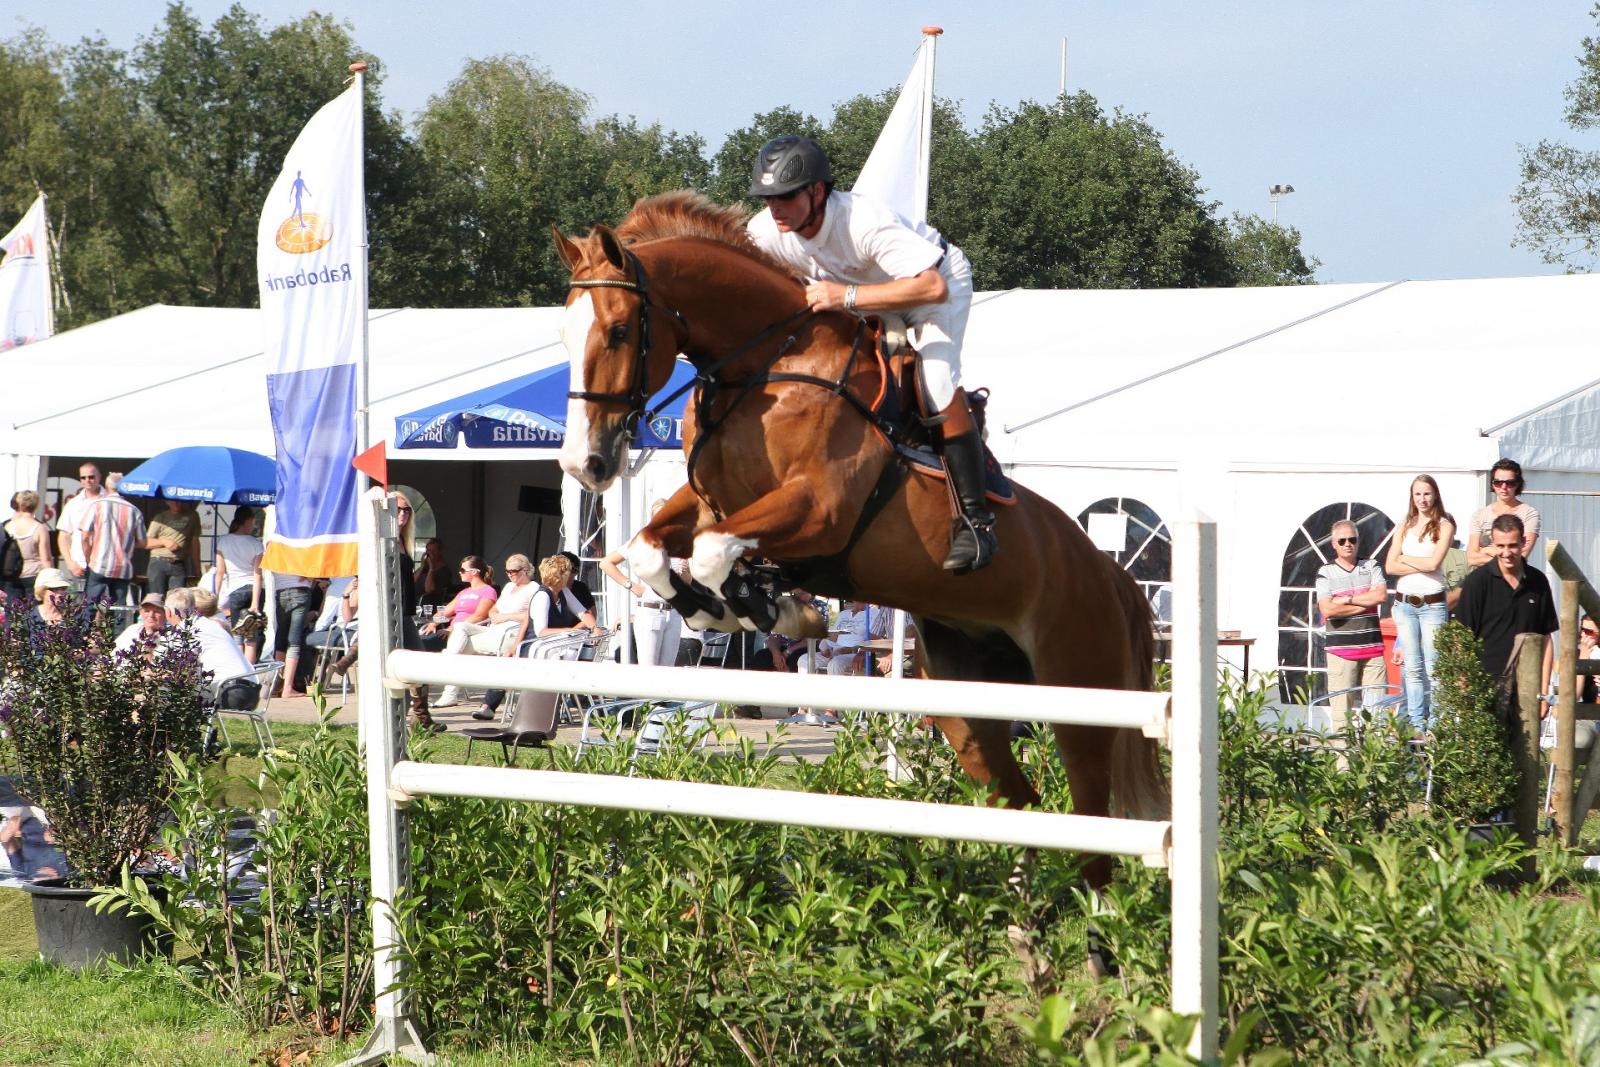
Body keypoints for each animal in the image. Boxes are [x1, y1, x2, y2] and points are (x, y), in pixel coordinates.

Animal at [550, 189, 1164, 895]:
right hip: (966, 697)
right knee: (1021, 802)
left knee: (1095, 836)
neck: (768, 366)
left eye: (620, 330)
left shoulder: (821, 510)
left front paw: (769, 605)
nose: (586, 465)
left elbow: (709, 552)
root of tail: (1110, 575)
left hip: (1081, 697)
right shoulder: (709, 503)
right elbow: (652, 549)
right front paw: (737, 604)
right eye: (563, 334)